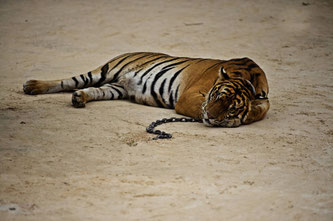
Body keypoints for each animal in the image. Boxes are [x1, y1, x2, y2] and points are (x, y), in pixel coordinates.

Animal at [23, 52, 268, 127]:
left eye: (231, 107)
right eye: (216, 96)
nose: (211, 117)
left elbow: (259, 109)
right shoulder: (189, 96)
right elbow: (199, 106)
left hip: (114, 88)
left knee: (93, 90)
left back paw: (79, 98)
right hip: (105, 70)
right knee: (69, 80)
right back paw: (32, 86)